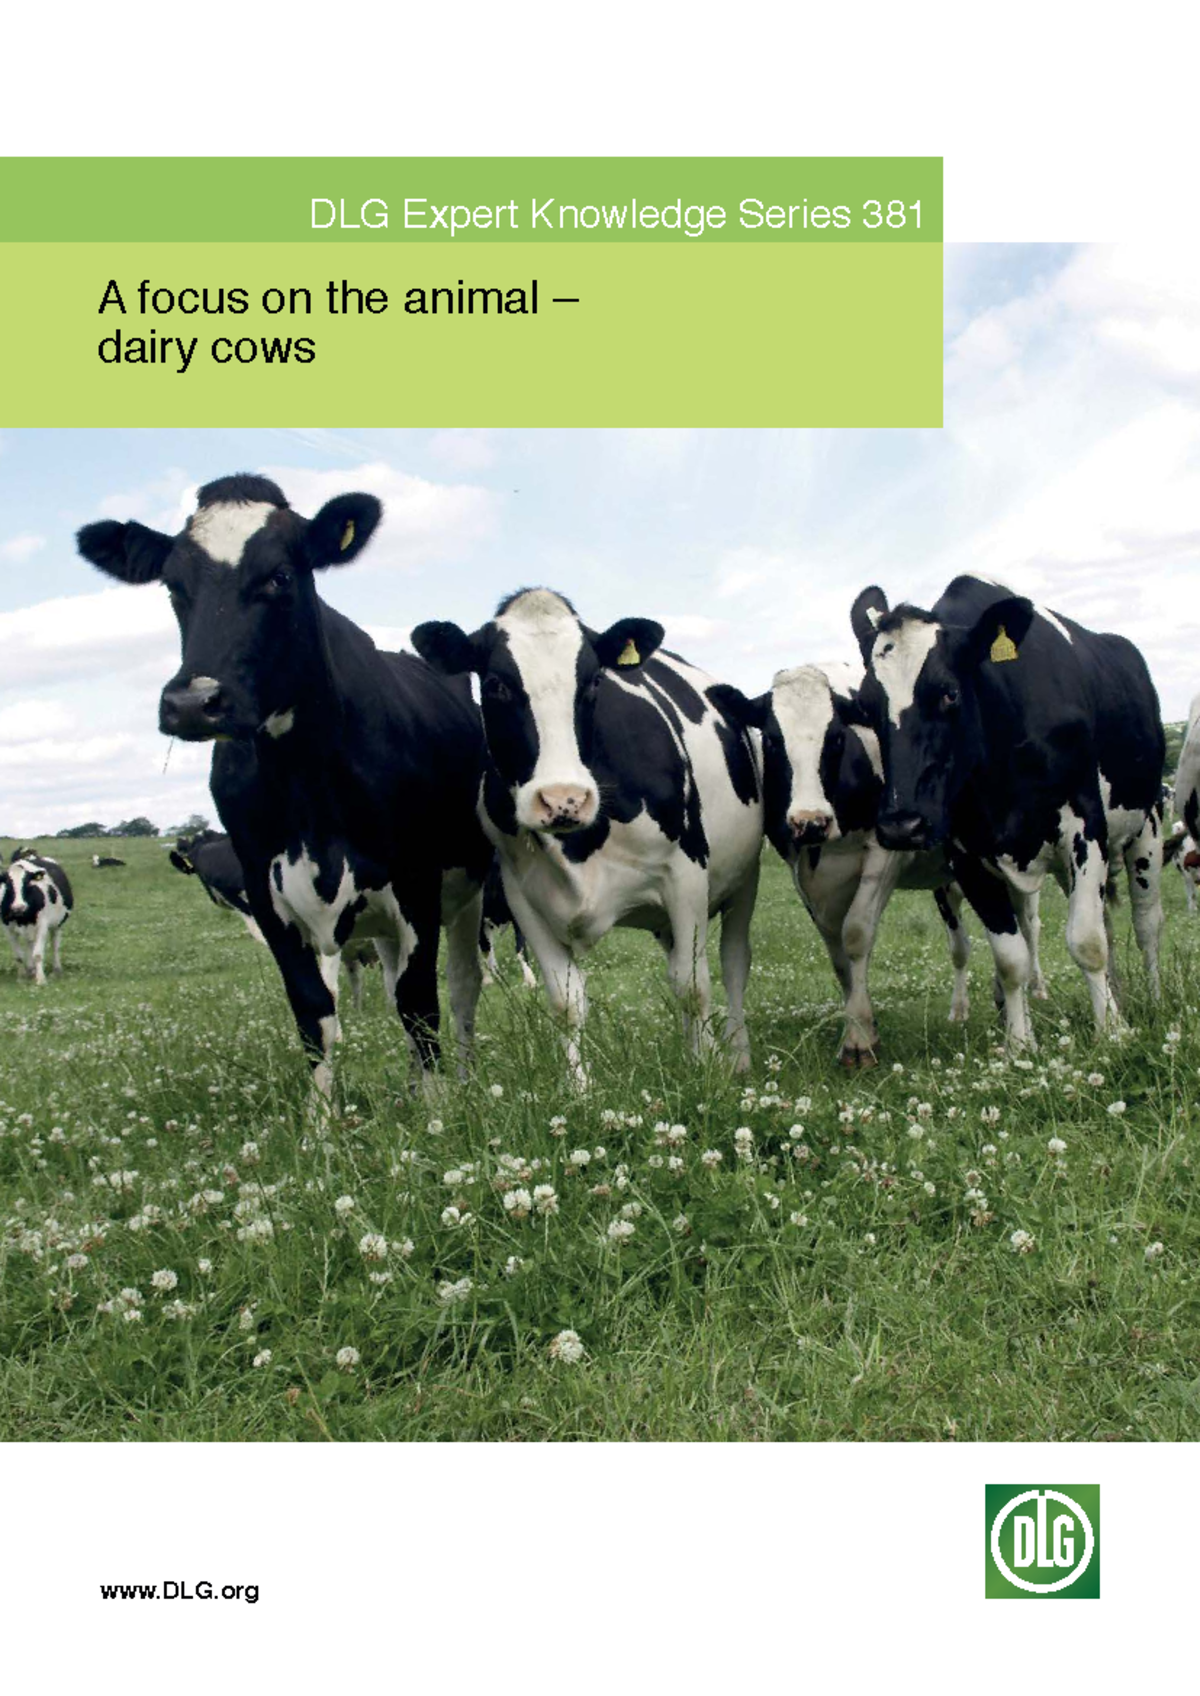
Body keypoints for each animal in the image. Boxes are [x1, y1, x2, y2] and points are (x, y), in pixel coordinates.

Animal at [2, 852, 74, 984]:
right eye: (8, 886)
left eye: (27, 884)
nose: (19, 907)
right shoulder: (8, 929)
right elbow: (18, 955)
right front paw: (21, 977)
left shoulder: (42, 925)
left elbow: (38, 954)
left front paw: (41, 979)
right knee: (30, 943)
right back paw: (31, 970)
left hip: (57, 925)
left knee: (55, 946)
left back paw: (56, 969)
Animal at [77, 473, 492, 1104]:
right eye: (173, 585)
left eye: (280, 576)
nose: (192, 702)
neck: (306, 784)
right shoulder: (266, 895)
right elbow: (313, 1015)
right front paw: (323, 1125)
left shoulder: (416, 882)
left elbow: (421, 1006)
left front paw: (438, 1111)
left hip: (466, 889)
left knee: (462, 987)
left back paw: (461, 1081)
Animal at [411, 588, 763, 1083]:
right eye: (496, 683)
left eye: (594, 680)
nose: (563, 799)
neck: (579, 846)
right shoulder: (523, 896)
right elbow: (566, 1003)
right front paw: (579, 1089)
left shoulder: (685, 876)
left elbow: (694, 987)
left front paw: (706, 1073)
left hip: (744, 880)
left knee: (732, 965)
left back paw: (736, 1054)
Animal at [848, 574, 1164, 1048]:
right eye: (867, 706)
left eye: (949, 693)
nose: (902, 825)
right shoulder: (966, 854)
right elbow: (1011, 956)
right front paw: (1018, 1043)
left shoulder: (1086, 826)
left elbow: (1087, 941)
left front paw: (1110, 1031)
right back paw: (1115, 995)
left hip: (1147, 826)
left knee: (1146, 924)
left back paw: (1155, 994)